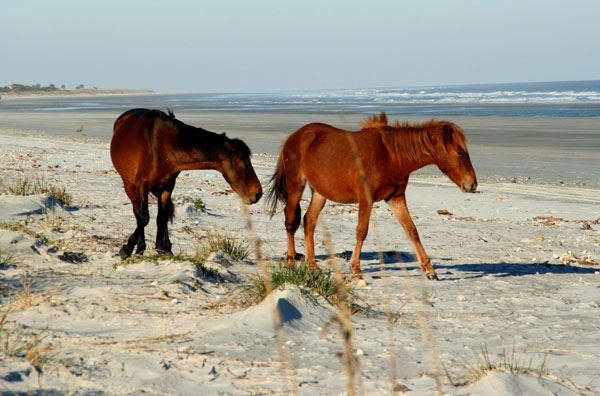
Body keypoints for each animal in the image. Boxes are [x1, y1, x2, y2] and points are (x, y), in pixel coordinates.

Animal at [111, 108, 262, 256]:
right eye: (245, 165)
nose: (258, 193)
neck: (162, 147)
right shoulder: (142, 186)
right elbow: (143, 218)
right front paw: (127, 248)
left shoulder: (167, 186)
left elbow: (162, 216)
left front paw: (163, 248)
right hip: (130, 185)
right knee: (138, 213)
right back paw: (140, 248)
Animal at [268, 113, 478, 284]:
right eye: (459, 152)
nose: (472, 184)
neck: (389, 156)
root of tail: (293, 137)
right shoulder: (366, 199)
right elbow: (362, 231)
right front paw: (356, 269)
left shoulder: (396, 198)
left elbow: (412, 230)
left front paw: (429, 270)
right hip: (296, 187)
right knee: (290, 220)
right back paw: (290, 261)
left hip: (320, 193)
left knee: (309, 221)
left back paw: (312, 265)